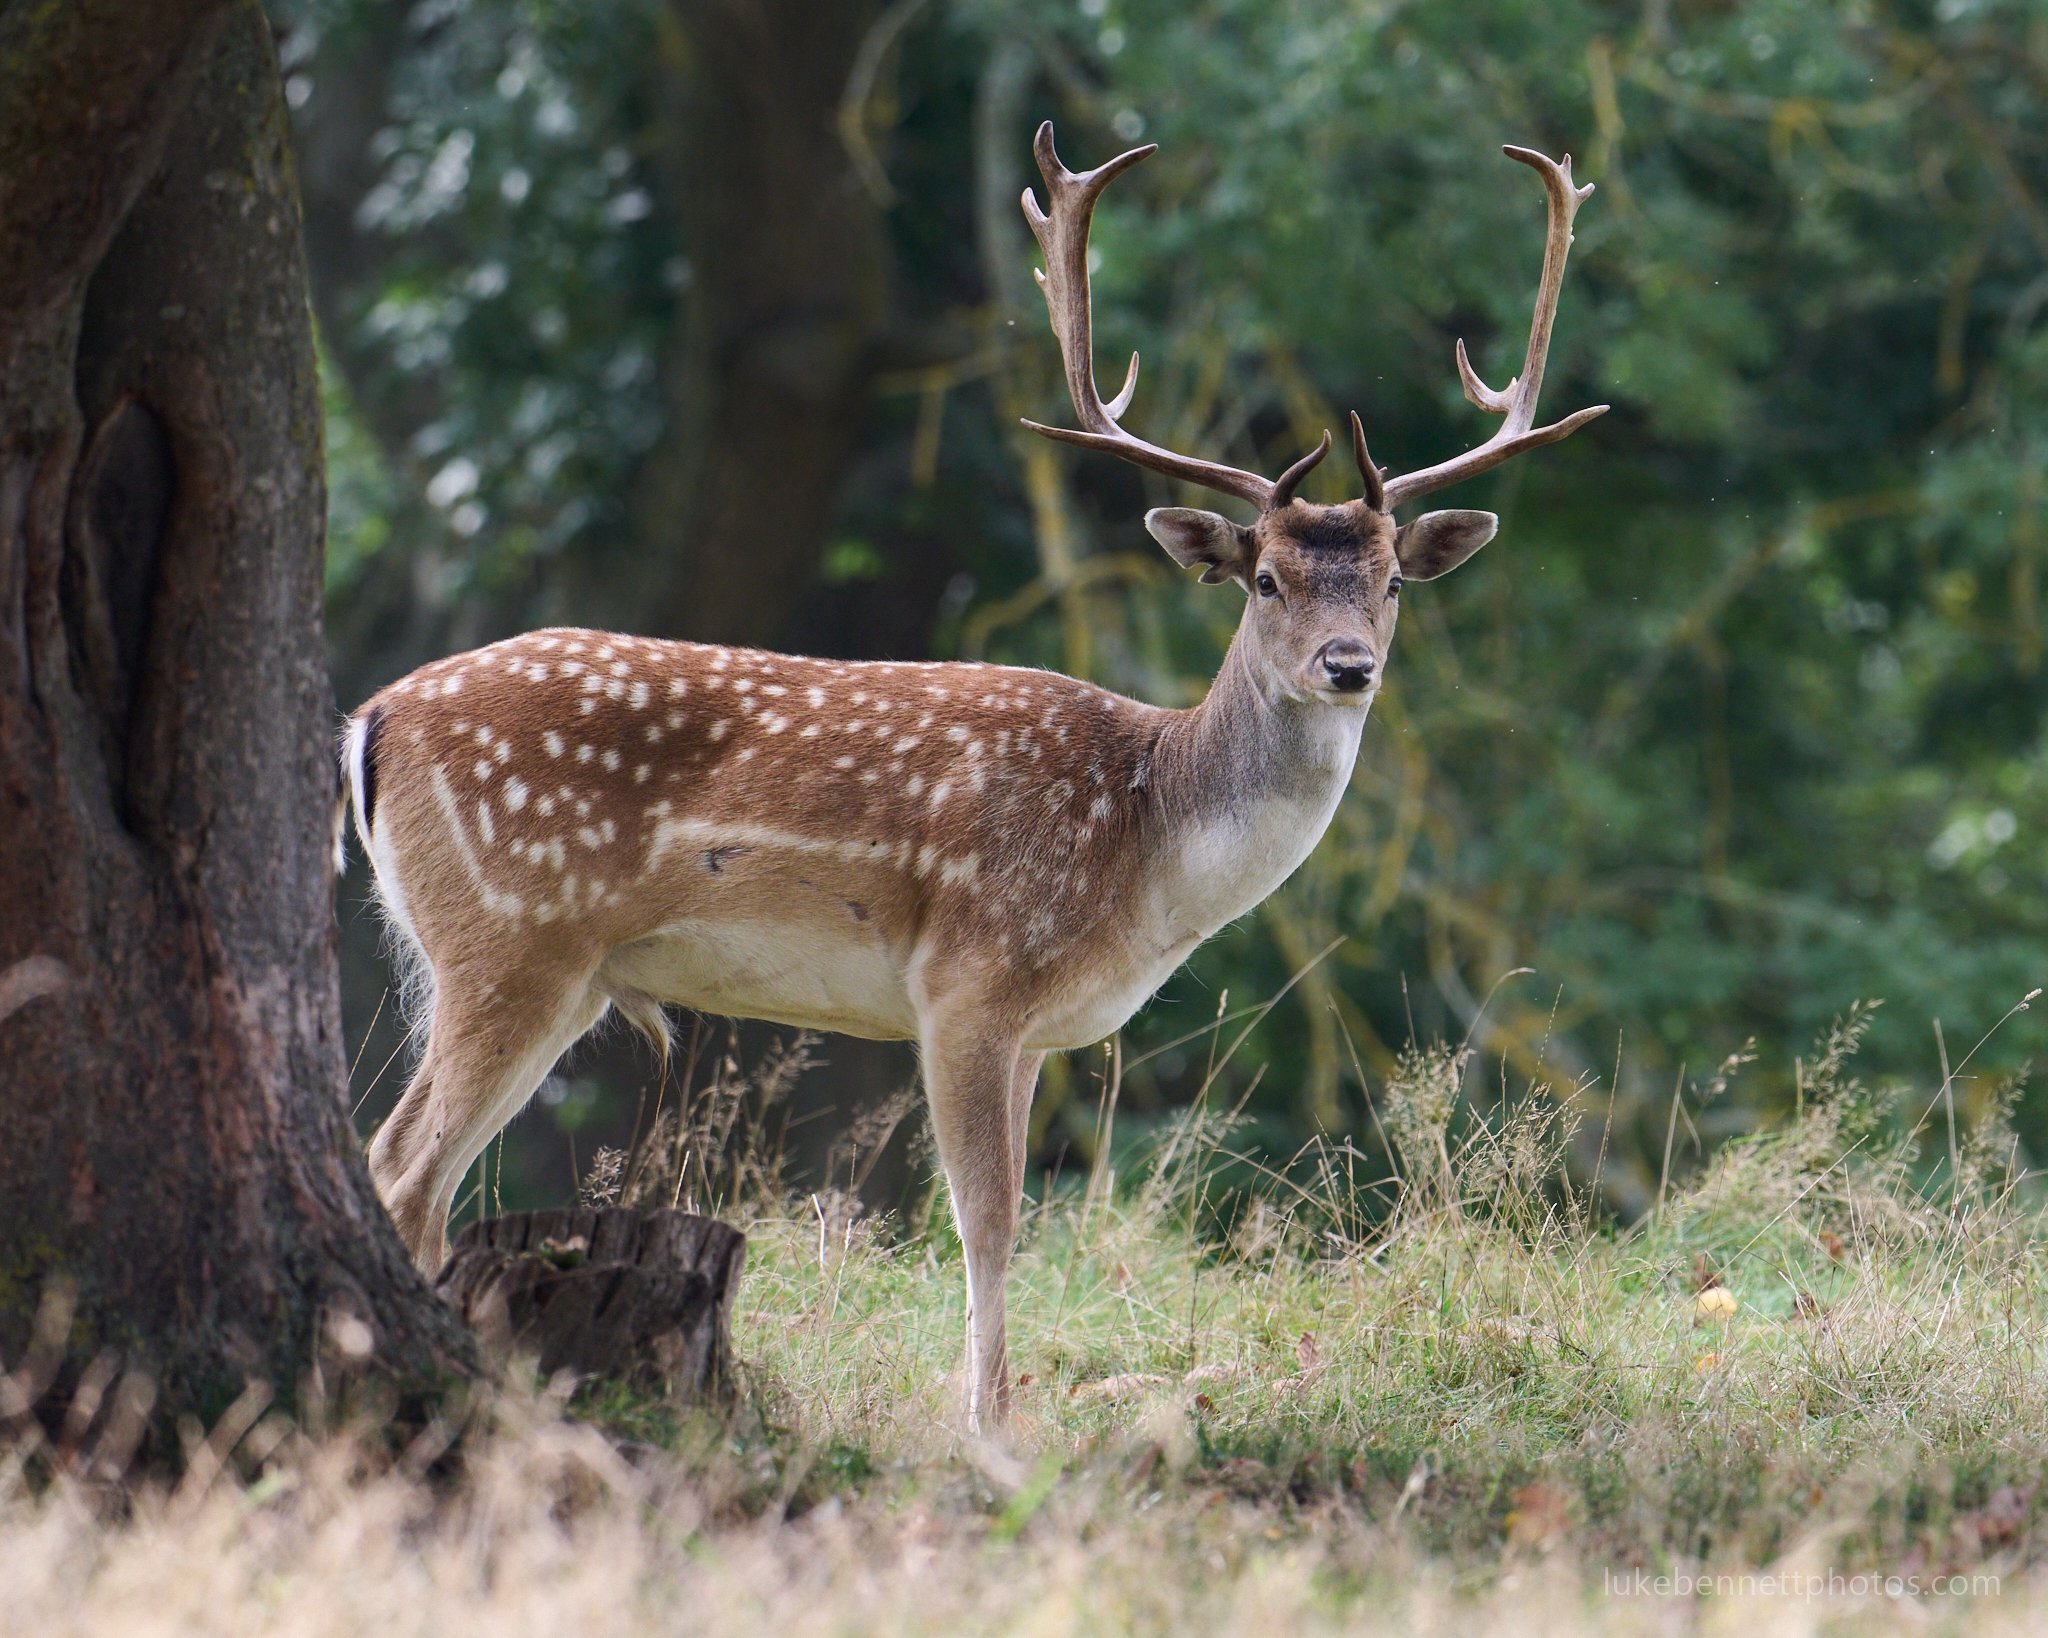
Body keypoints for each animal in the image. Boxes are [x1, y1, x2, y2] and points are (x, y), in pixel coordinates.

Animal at [339, 124, 1597, 1433]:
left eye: (1393, 580)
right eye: (1264, 581)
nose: (1347, 665)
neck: (1145, 847)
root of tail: (371, 716)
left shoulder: (1037, 1029)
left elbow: (1007, 1221)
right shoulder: (965, 984)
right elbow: (985, 1224)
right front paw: (992, 1430)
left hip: (545, 968)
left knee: (416, 1162)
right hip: (508, 936)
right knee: (402, 1162)